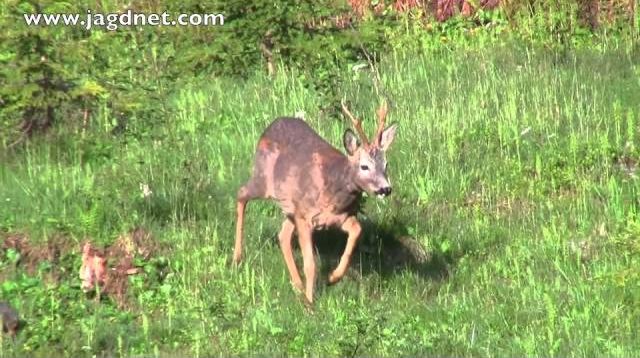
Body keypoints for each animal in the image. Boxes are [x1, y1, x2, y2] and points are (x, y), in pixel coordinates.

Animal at [232, 99, 398, 304]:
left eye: (386, 165)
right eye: (364, 166)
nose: (385, 189)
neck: (335, 193)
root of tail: (271, 126)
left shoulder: (340, 217)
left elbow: (357, 230)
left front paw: (333, 278)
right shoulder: (305, 217)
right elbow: (310, 264)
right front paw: (310, 303)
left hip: (291, 208)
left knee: (283, 235)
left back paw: (298, 285)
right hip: (263, 180)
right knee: (241, 194)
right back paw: (237, 257)